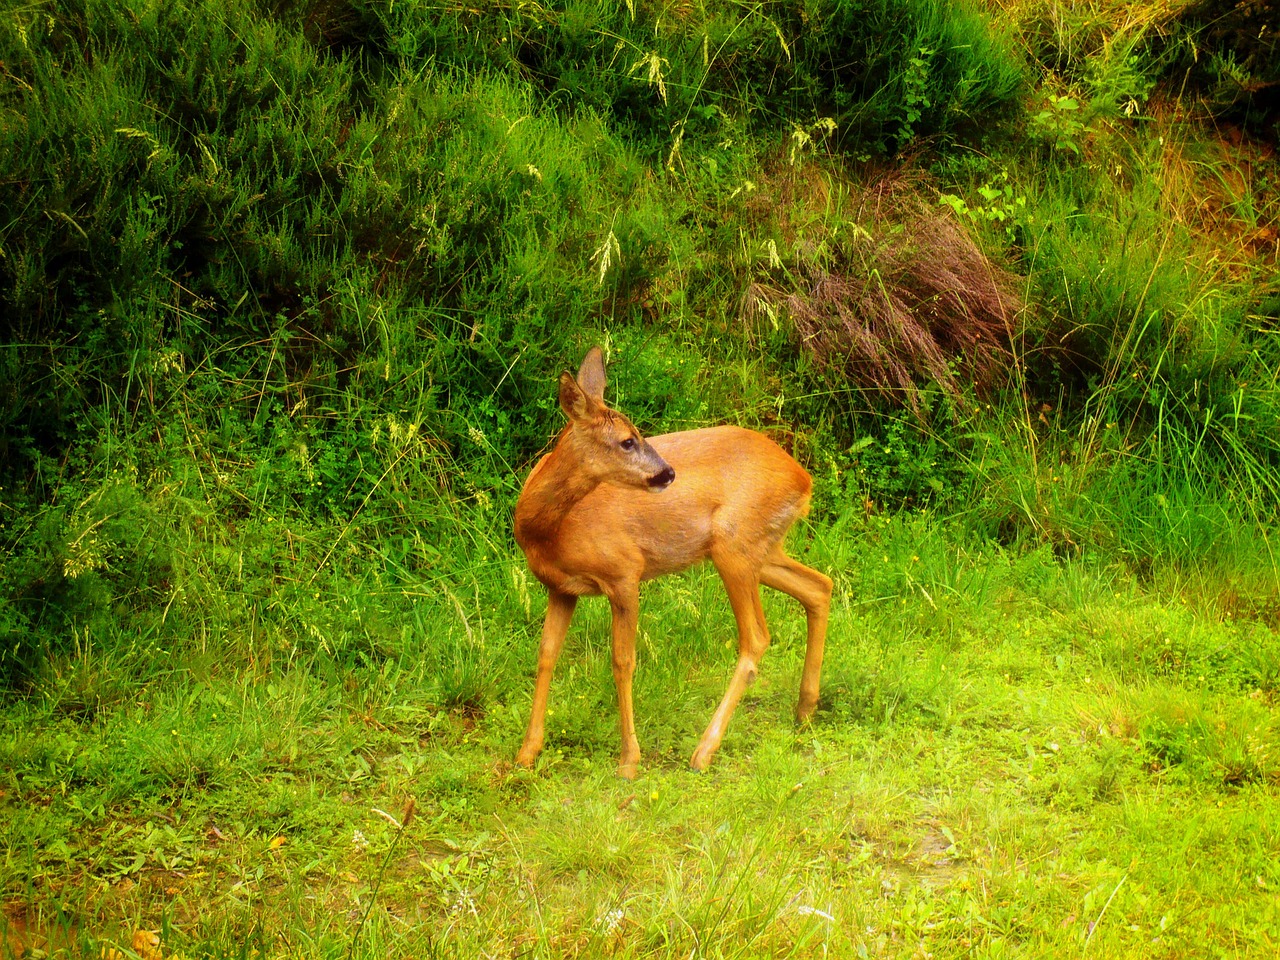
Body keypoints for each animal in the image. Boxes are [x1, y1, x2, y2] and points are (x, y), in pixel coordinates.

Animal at [514, 348, 834, 783]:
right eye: (627, 440)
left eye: (638, 433)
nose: (667, 473)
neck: (552, 530)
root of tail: (805, 480)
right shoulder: (559, 588)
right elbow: (546, 655)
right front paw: (527, 753)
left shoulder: (624, 572)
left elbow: (623, 661)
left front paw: (629, 760)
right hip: (760, 550)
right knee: (819, 586)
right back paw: (804, 710)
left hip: (734, 544)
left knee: (757, 636)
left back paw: (705, 750)